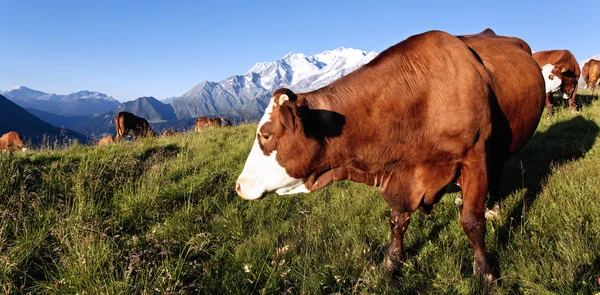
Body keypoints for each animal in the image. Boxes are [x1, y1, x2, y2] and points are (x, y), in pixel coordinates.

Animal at [237, 28, 548, 280]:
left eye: (266, 134)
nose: (239, 185)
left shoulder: (474, 156)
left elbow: (472, 222)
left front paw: (484, 272)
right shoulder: (399, 172)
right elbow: (398, 221)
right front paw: (391, 262)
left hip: (497, 148)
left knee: (497, 169)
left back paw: (492, 205)